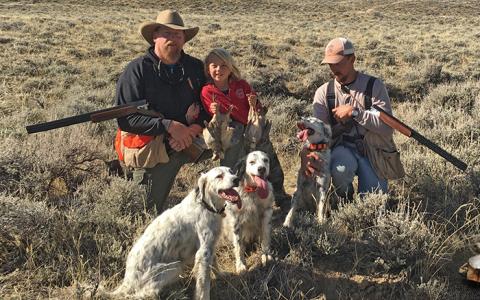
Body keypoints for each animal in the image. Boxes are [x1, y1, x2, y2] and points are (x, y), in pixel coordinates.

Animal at [110, 166, 242, 300]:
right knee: (144, 293)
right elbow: (203, 284)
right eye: (219, 176)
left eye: (231, 172)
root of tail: (126, 282)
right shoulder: (203, 253)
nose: (237, 179)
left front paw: (221, 275)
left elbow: (214, 263)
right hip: (175, 267)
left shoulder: (210, 245)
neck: (206, 205)